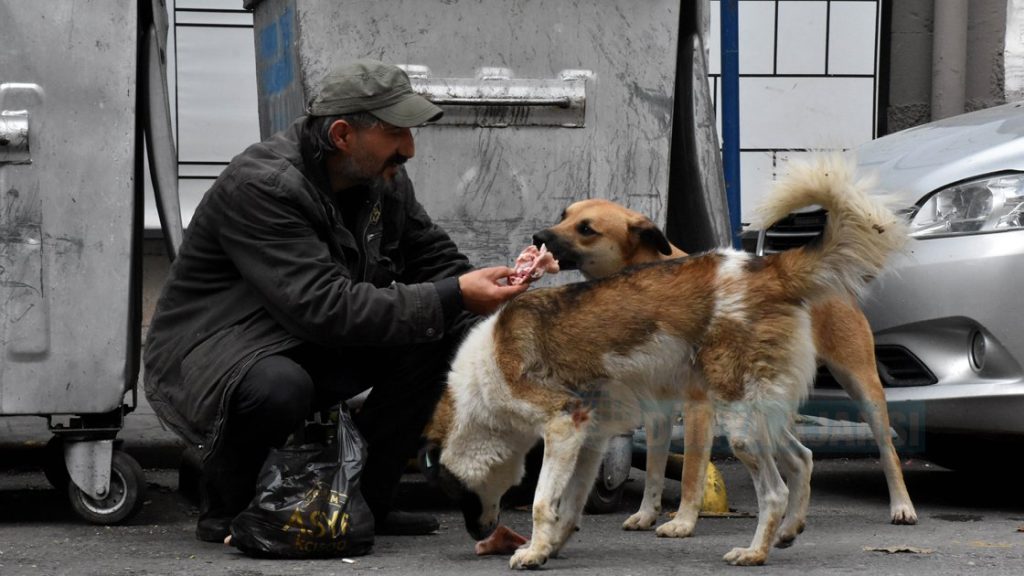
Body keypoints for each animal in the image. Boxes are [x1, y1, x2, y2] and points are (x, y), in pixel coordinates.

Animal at [532, 191, 917, 528]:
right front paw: (646, 514)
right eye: (564, 215)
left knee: (887, 450)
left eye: (587, 229)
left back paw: (901, 505)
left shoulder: (697, 406)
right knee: (799, 456)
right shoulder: (658, 408)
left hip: (861, 385)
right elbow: (655, 468)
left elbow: (691, 471)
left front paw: (683, 521)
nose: (537, 236)